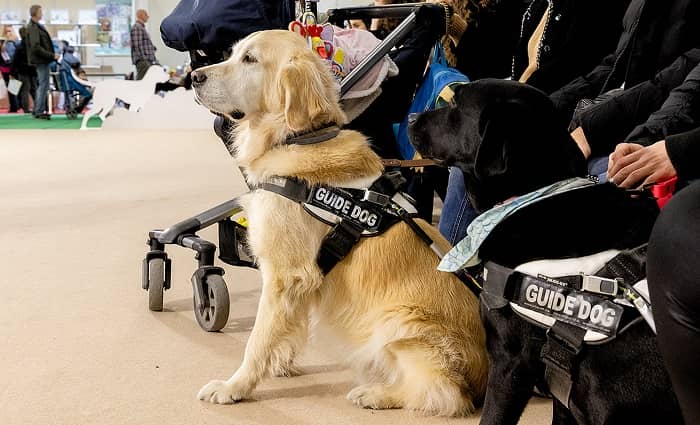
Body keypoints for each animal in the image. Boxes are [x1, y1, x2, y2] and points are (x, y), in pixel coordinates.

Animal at [190, 29, 488, 416]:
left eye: (250, 60)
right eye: (232, 53)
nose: (193, 77)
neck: (295, 137)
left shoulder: (284, 275)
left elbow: (256, 340)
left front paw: (235, 386)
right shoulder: (301, 278)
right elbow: (286, 328)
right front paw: (280, 361)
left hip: (399, 322)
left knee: (445, 395)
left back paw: (376, 393)